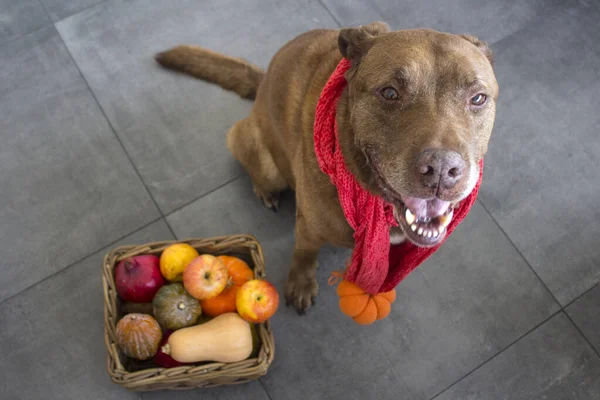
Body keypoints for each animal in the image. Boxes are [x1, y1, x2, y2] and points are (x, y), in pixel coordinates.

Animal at [155, 21, 496, 314]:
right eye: (389, 93)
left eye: (478, 98)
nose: (441, 170)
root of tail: (263, 80)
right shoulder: (308, 226)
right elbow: (304, 254)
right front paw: (301, 284)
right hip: (261, 157)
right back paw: (265, 192)